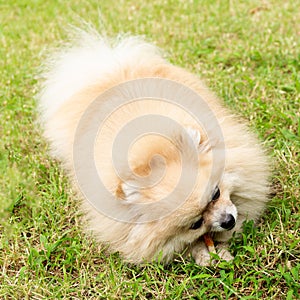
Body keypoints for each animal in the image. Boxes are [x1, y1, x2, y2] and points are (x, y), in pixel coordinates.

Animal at [37, 29, 270, 266]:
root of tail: (110, 66)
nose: (227, 221)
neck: (153, 150)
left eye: (216, 193)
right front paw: (204, 252)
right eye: (195, 224)